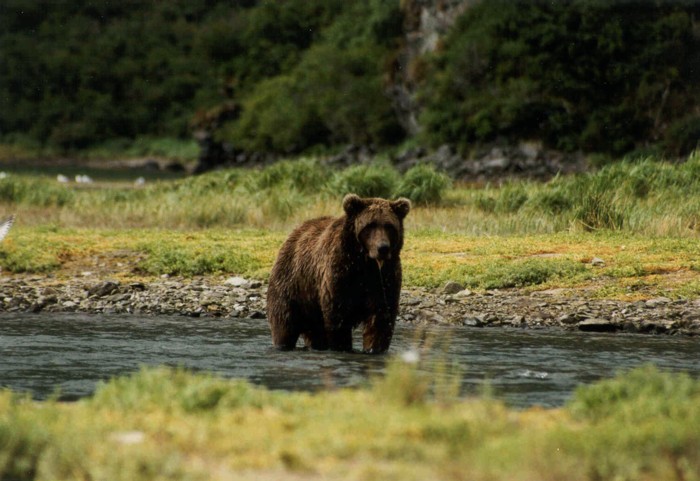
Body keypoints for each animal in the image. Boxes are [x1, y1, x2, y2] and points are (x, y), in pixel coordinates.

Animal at [266, 193, 410, 354]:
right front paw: (342, 346)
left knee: (315, 333)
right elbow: (338, 316)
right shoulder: (340, 273)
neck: (365, 263)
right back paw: (283, 344)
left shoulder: (384, 278)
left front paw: (374, 349)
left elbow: (380, 318)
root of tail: (296, 231)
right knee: (284, 323)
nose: (383, 248)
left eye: (389, 226)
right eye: (370, 225)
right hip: (292, 284)